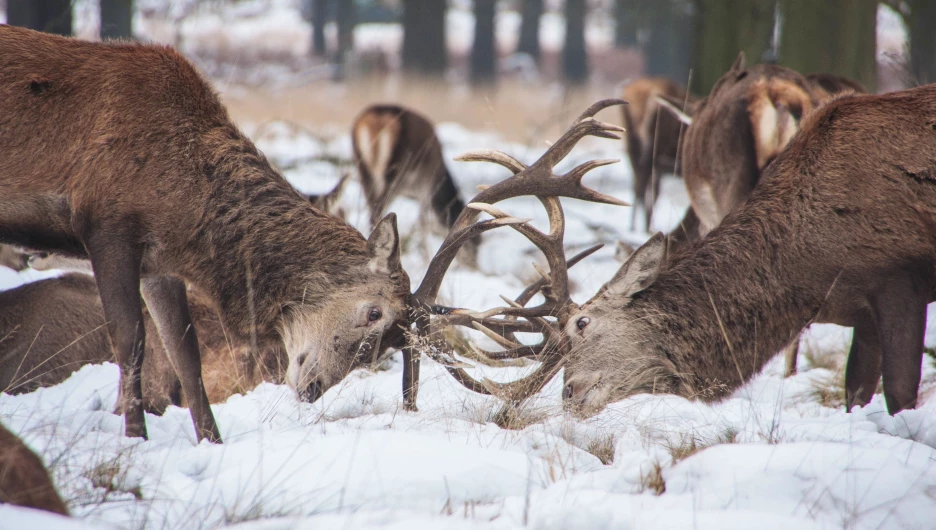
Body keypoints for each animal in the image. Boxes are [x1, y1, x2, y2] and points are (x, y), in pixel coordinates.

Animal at [352, 103, 482, 258]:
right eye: (475, 241)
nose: (475, 263)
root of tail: (376, 118)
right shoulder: (425, 185)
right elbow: (423, 222)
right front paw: (426, 257)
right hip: (393, 173)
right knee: (376, 212)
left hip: (363, 170)